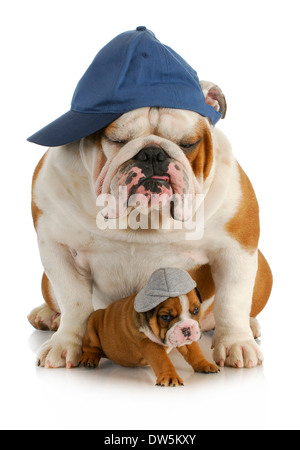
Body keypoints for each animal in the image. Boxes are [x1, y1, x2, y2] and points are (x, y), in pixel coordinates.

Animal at [79, 268, 218, 386]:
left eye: (196, 309)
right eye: (165, 317)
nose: (186, 328)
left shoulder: (186, 341)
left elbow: (194, 352)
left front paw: (204, 364)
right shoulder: (148, 343)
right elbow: (162, 360)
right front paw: (170, 377)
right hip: (93, 320)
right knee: (91, 347)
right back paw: (89, 358)